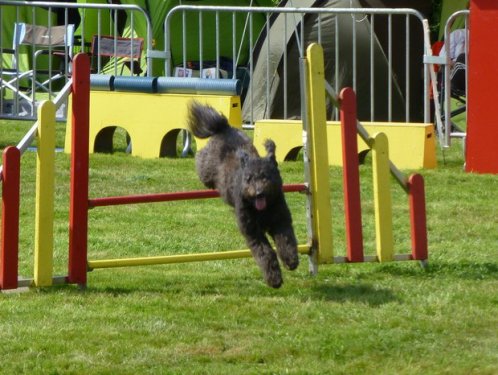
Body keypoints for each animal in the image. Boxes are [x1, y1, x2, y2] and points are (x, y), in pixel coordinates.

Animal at [188, 101, 300, 290]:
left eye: (266, 176)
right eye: (248, 178)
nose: (258, 192)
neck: (261, 210)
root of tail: (224, 128)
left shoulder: (280, 221)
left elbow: (287, 241)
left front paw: (291, 260)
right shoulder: (252, 231)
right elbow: (266, 253)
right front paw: (274, 279)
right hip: (206, 166)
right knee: (200, 160)